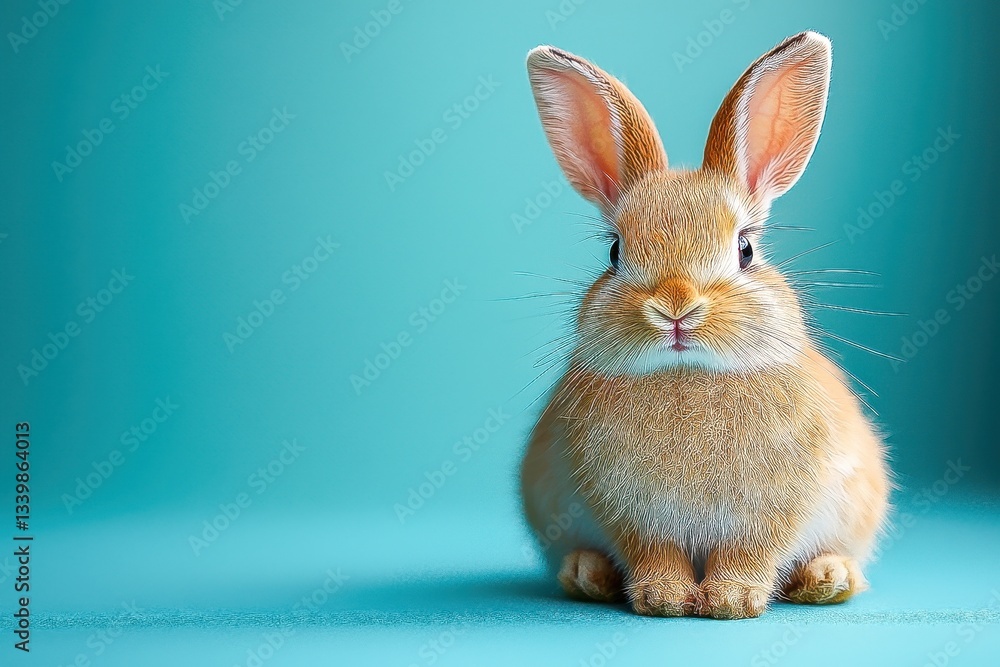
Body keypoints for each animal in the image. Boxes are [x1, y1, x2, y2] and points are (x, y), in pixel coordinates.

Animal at [520, 31, 890, 619]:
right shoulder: (633, 516)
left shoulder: (770, 514)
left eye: (746, 250)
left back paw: (828, 577)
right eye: (614, 251)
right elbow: (654, 553)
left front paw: (731, 601)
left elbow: (751, 553)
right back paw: (586, 573)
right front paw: (663, 598)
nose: (676, 307)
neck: (688, 375)